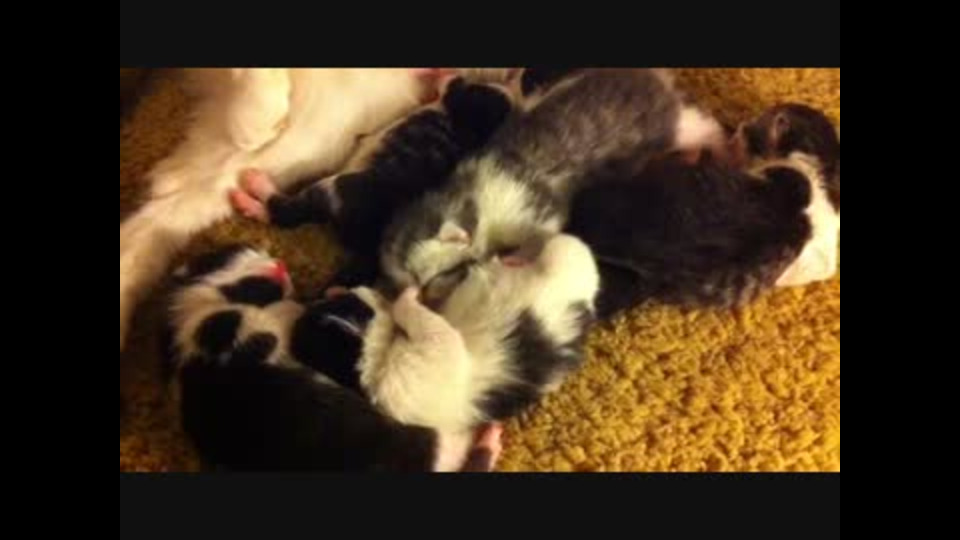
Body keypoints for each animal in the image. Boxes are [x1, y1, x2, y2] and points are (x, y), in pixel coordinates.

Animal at [164, 244, 502, 472]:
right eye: (255, 285)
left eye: (245, 251)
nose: (279, 266)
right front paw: (405, 296)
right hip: (422, 444)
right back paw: (490, 437)